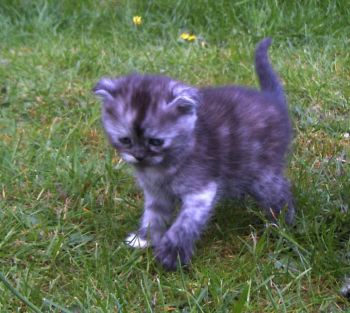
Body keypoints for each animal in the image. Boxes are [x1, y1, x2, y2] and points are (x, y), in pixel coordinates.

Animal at [93, 37, 296, 270]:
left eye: (156, 142)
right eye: (126, 140)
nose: (139, 155)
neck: (162, 167)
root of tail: (272, 102)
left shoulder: (201, 190)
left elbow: (186, 222)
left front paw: (172, 253)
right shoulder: (155, 192)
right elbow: (153, 214)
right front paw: (145, 239)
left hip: (263, 173)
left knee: (280, 194)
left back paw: (282, 227)